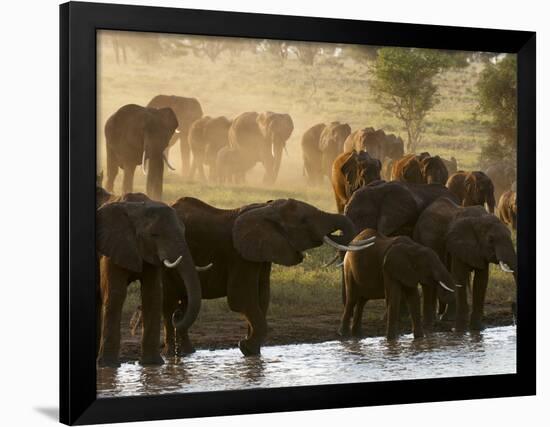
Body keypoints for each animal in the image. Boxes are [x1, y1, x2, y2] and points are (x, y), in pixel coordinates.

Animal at [96, 196, 204, 366]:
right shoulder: (112, 246)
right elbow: (115, 295)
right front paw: (109, 366)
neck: (137, 207)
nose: (177, 314)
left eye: (183, 232)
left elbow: (153, 295)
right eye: (154, 235)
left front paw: (152, 364)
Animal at [160, 197, 376, 358]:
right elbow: (241, 299)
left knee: (184, 303)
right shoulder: (239, 255)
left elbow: (262, 297)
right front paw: (246, 347)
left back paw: (187, 352)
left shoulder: (262, 254)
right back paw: (173, 352)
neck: (266, 209)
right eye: (303, 221)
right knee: (169, 305)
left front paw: (252, 351)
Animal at [416, 197, 520, 332]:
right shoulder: (458, 245)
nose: (513, 304)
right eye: (490, 240)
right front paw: (461, 331)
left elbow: (481, 281)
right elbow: (460, 276)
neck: (479, 219)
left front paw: (477, 330)